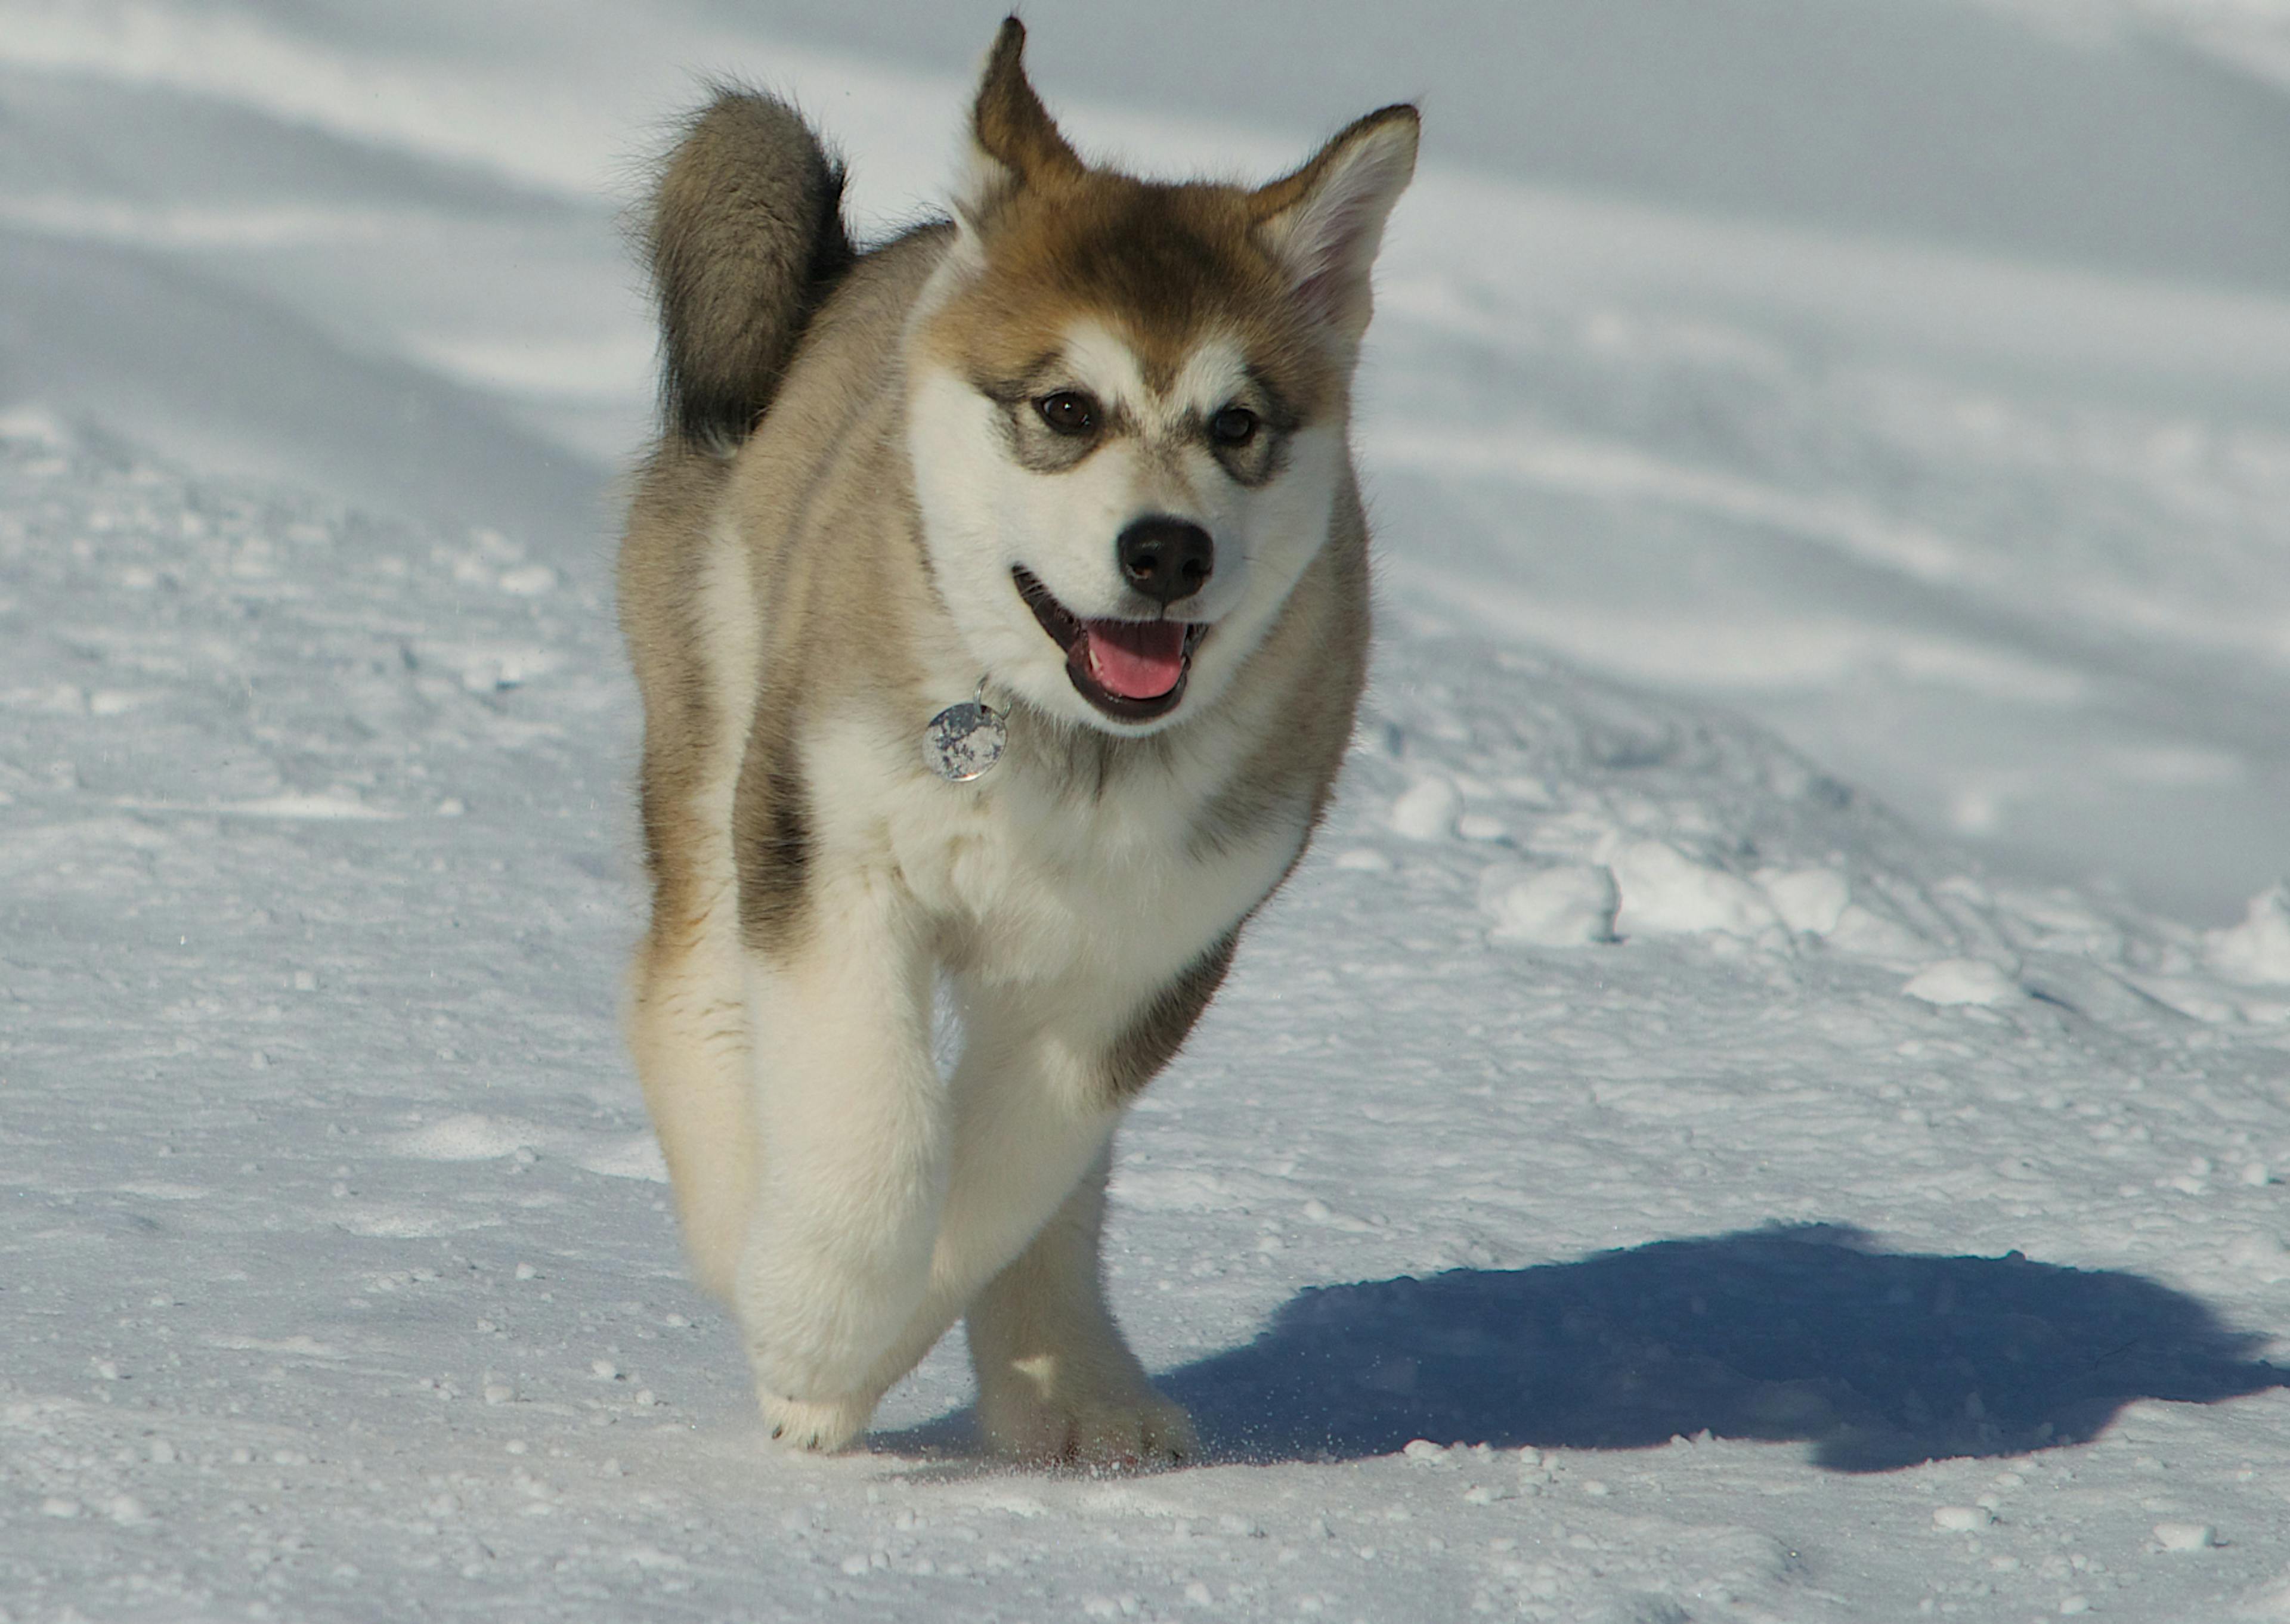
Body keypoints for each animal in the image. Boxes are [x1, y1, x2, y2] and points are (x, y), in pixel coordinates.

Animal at [618, 16, 1419, 1456]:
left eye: (1238, 423)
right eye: (1066, 408)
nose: (1167, 552)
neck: (1065, 749)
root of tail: (846, 270)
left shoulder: (1141, 957)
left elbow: (1005, 1171)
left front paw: (852, 1357)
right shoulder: (836, 858)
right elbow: (878, 1130)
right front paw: (811, 1326)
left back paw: (1080, 1391)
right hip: (720, 722)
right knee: (690, 990)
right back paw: (737, 1216)